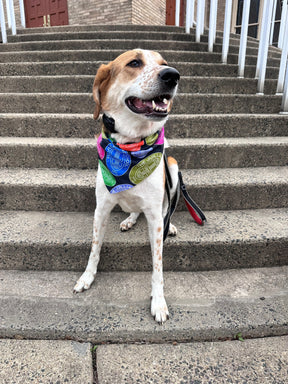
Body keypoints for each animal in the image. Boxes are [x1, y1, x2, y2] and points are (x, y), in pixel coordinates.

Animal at [73, 48, 179, 324]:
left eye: (164, 63)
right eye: (134, 63)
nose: (173, 75)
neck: (131, 145)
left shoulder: (155, 221)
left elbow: (157, 266)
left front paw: (158, 302)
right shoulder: (101, 208)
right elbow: (94, 248)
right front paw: (86, 278)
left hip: (173, 167)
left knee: (168, 207)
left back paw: (171, 224)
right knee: (133, 210)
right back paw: (129, 220)